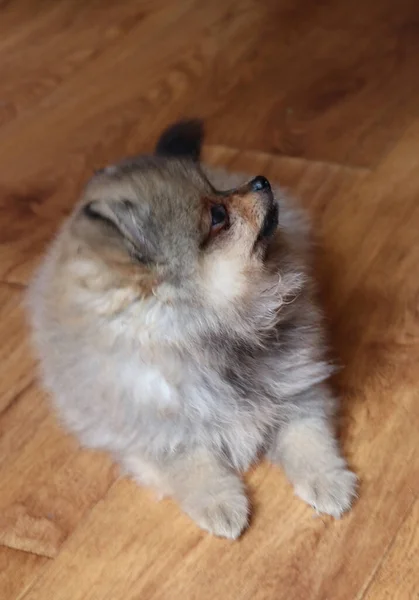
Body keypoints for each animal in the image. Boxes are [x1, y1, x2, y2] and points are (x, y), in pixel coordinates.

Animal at [27, 119, 358, 536]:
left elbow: (309, 437)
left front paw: (329, 481)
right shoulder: (156, 431)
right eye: (218, 216)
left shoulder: (296, 387)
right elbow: (191, 464)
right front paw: (221, 504)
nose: (261, 181)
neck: (218, 338)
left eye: (215, 190)